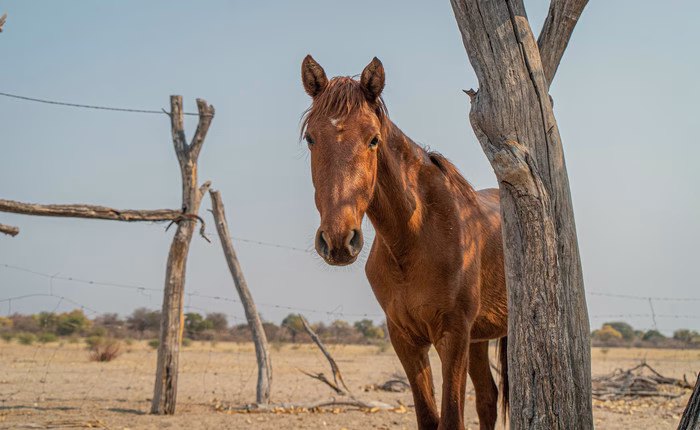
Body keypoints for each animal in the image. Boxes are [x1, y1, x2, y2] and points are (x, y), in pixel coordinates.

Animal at [300, 55, 509, 430]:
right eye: (310, 139)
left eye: (373, 139)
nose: (338, 239)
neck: (414, 238)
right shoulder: (406, 340)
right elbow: (428, 417)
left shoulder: (453, 336)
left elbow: (451, 419)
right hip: (479, 339)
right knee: (487, 398)